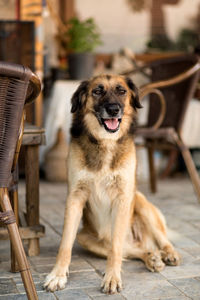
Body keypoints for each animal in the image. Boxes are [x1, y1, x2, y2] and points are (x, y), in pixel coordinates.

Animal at [44, 74, 180, 292]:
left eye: (121, 91)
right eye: (97, 91)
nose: (114, 109)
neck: (105, 142)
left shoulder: (123, 197)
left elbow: (115, 248)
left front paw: (112, 278)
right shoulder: (75, 197)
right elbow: (65, 244)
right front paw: (57, 275)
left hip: (140, 202)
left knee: (157, 240)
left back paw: (168, 253)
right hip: (85, 237)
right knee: (134, 250)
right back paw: (152, 258)